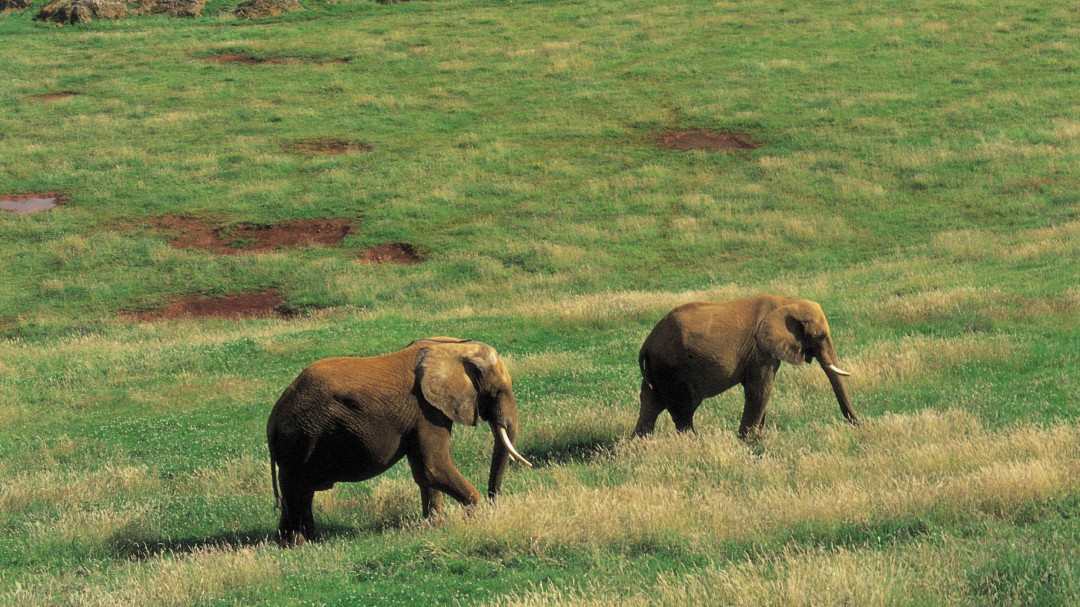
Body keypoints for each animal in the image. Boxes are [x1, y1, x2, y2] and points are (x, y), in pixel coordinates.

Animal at [267, 337, 532, 546]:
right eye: (498, 392)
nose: (494, 505)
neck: (454, 348)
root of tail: (272, 421)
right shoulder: (426, 409)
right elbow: (433, 467)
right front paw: (475, 517)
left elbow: (425, 472)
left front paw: (436, 526)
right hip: (300, 438)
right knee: (298, 491)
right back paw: (300, 544)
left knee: (299, 491)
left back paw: (292, 542)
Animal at [633, 294, 859, 439]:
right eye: (820, 336)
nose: (859, 426)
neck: (787, 302)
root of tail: (646, 344)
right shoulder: (759, 349)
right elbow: (760, 390)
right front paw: (747, 442)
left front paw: (757, 440)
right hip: (672, 370)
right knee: (683, 410)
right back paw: (694, 444)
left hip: (658, 369)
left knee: (651, 404)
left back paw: (638, 446)